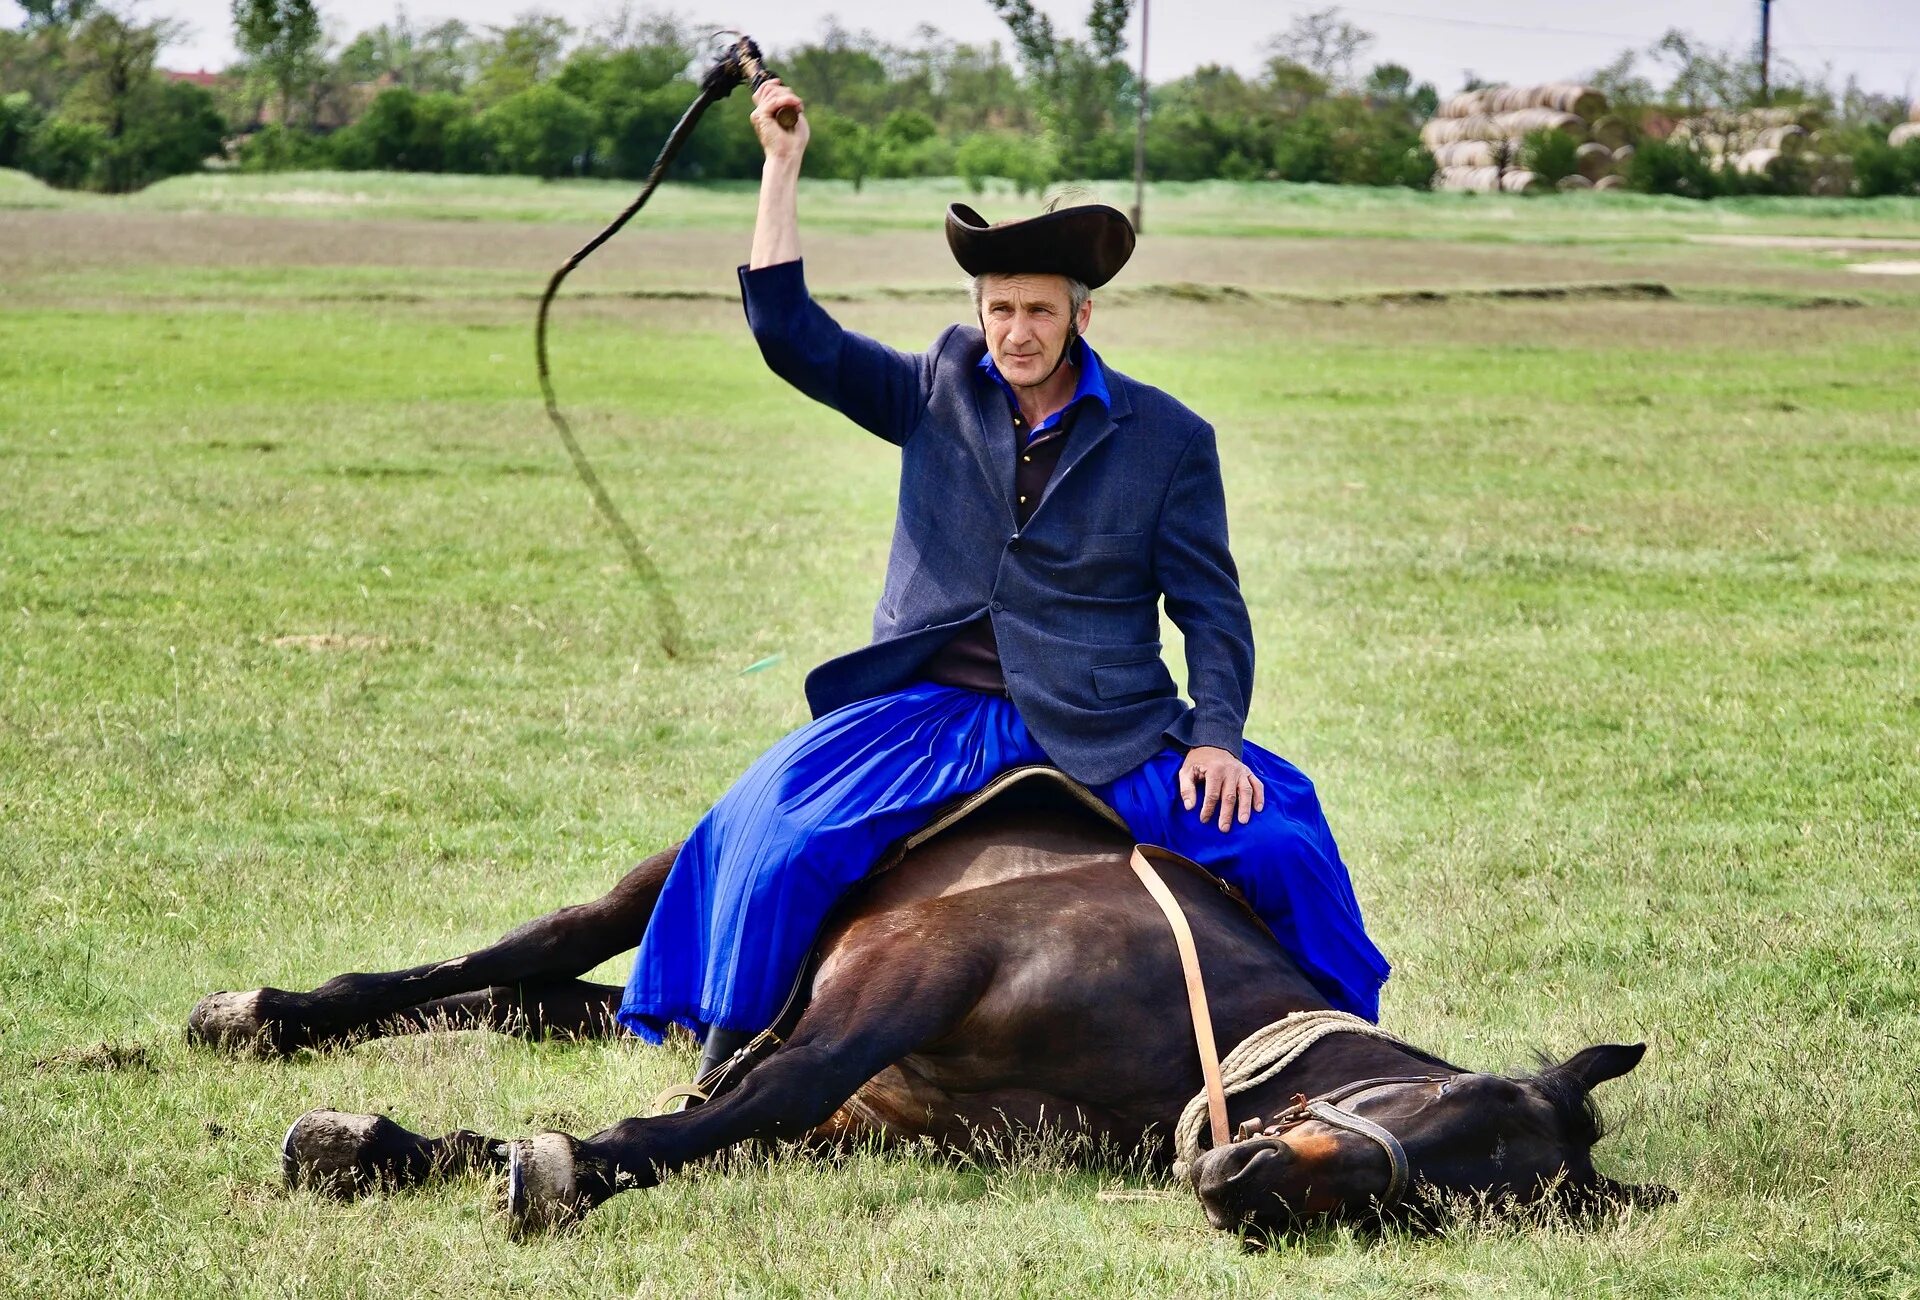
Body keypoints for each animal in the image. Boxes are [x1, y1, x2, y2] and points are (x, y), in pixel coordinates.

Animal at [194, 771, 1666, 1236]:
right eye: (1444, 1108)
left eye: (1426, 1211)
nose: (1244, 1188)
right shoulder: (907, 979)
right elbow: (743, 1097)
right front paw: (552, 1166)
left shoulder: (866, 1116)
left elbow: (722, 1117)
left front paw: (400, 1149)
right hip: (687, 876)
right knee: (527, 954)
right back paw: (263, 1012)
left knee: (548, 998)